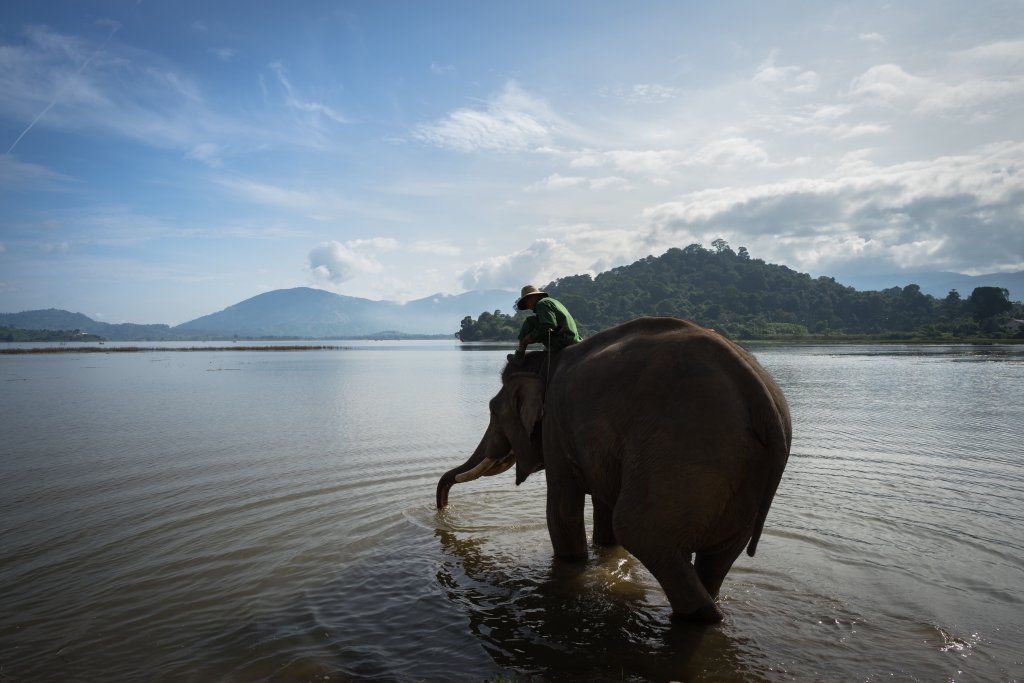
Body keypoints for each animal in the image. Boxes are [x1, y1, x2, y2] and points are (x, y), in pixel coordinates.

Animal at [434, 317, 790, 622]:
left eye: (493, 412)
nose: (443, 509)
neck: (544, 362)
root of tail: (761, 396)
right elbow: (602, 509)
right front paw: (602, 552)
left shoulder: (556, 427)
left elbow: (562, 510)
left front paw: (573, 563)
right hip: (743, 479)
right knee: (718, 558)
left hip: (687, 449)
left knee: (639, 531)